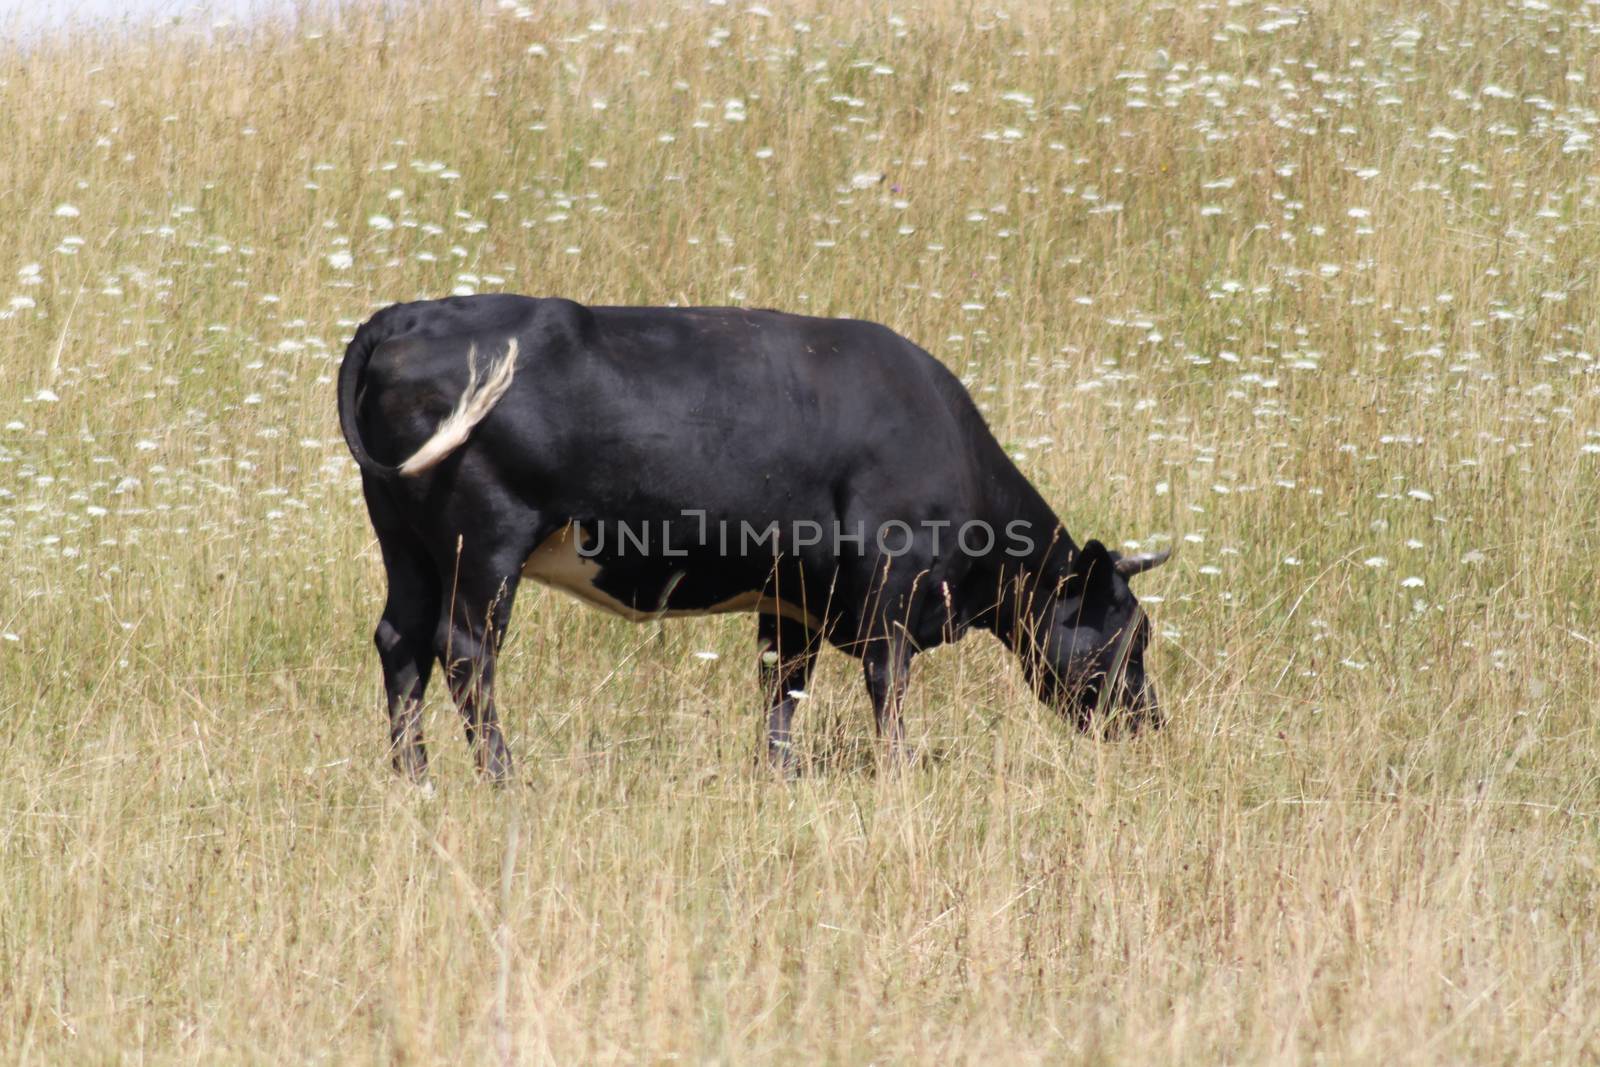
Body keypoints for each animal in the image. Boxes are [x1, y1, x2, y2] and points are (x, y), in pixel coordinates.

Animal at [337, 295, 1171, 780]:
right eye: (1133, 634)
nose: (1152, 723)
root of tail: (407, 315)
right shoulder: (890, 590)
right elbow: (888, 685)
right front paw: (899, 771)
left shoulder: (794, 594)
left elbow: (782, 685)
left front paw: (781, 773)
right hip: (483, 545)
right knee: (465, 652)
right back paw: (503, 776)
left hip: (405, 544)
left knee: (400, 642)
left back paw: (413, 778)